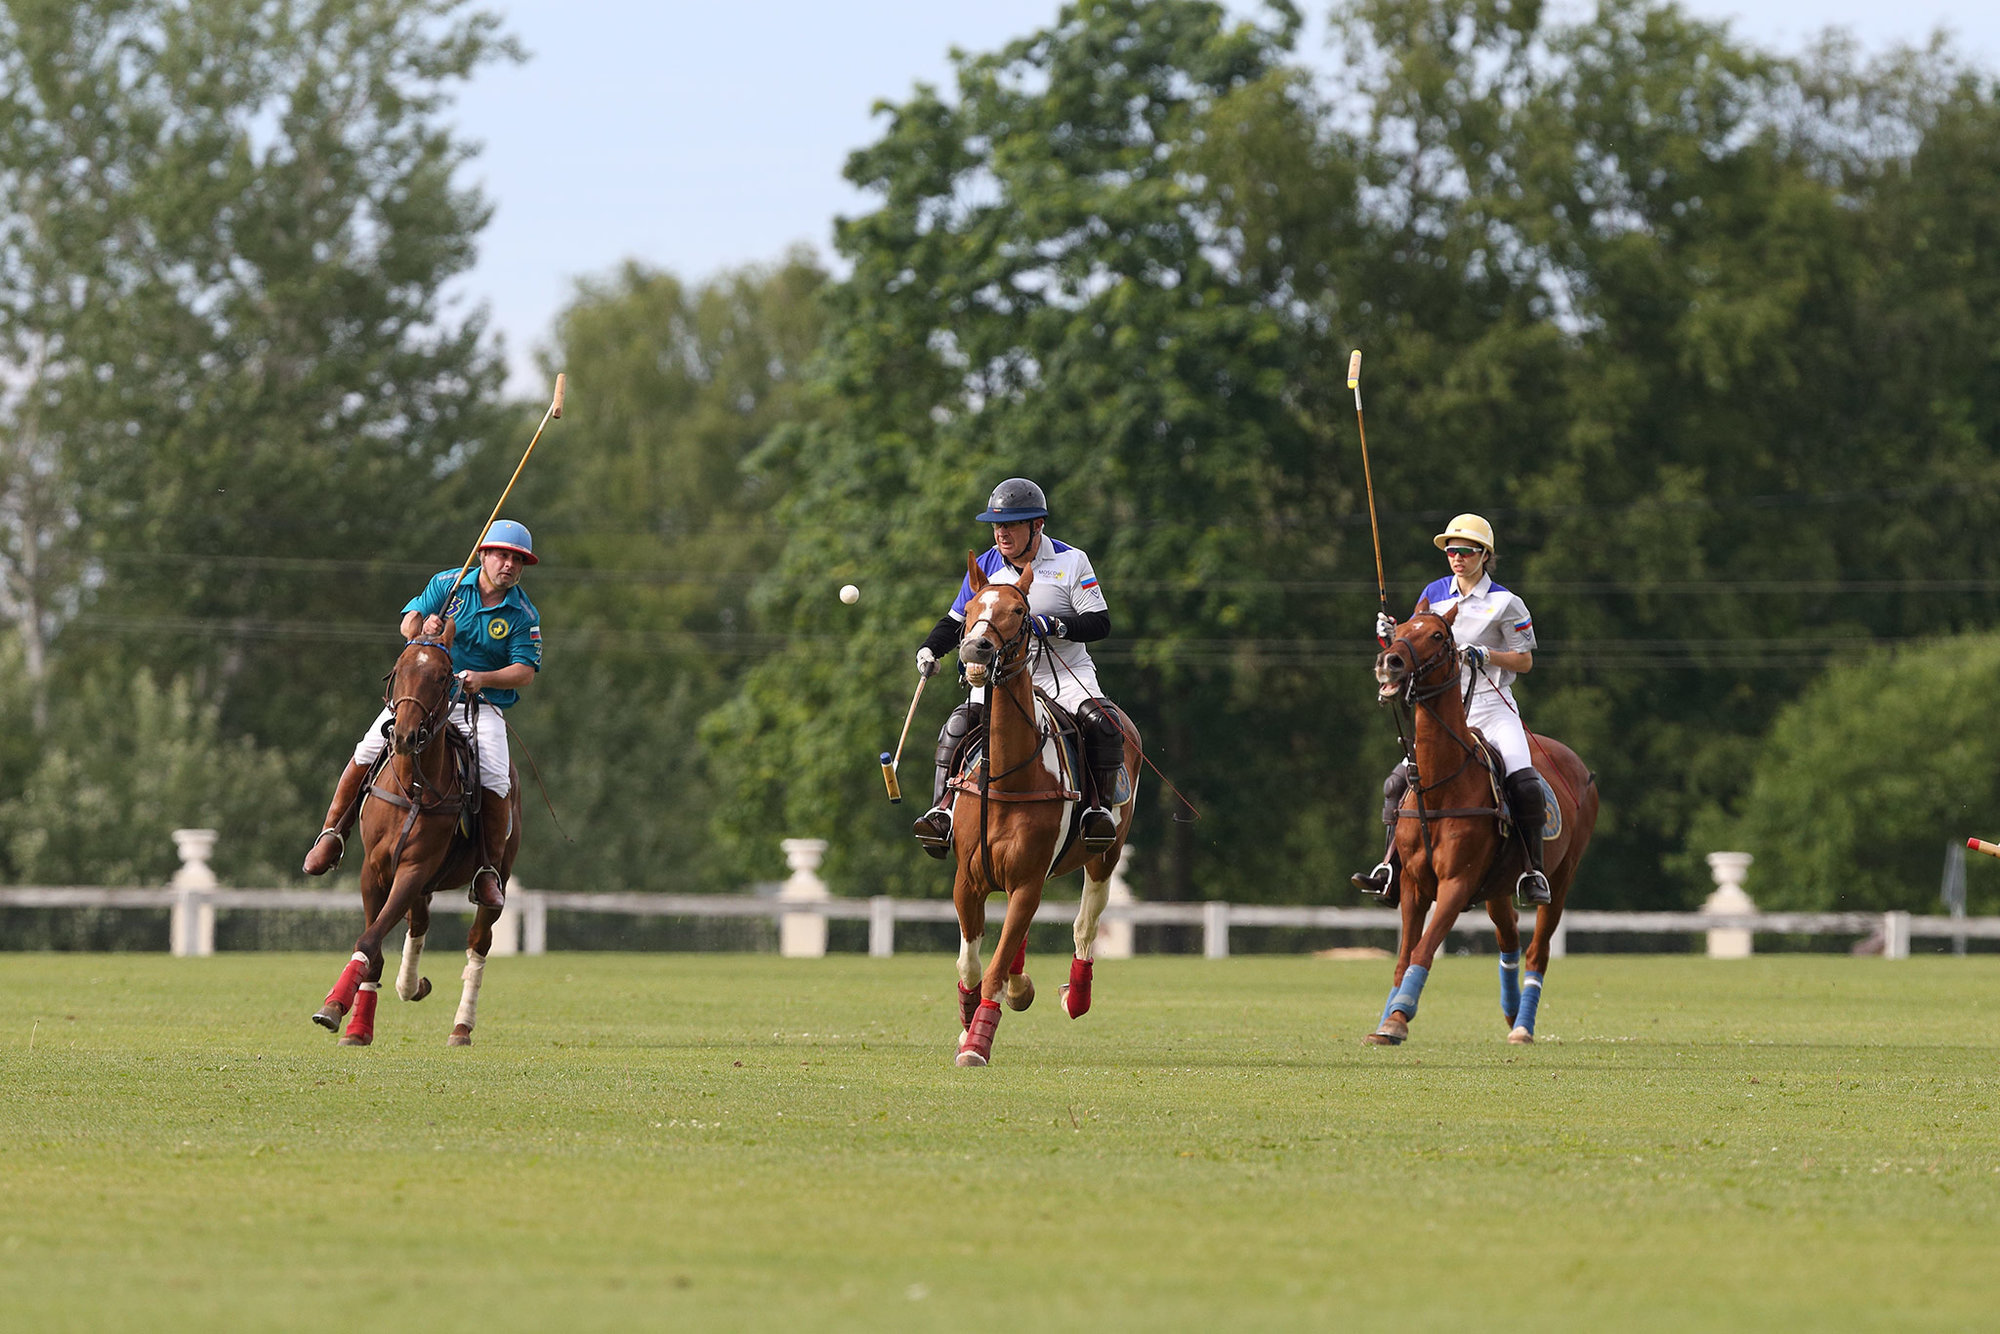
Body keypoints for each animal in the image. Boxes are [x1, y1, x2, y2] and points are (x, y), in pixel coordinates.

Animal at [308, 628, 520, 1056]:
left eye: (442, 676)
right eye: (399, 669)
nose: (404, 735)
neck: (411, 785)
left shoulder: (414, 868)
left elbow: (370, 937)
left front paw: (334, 1005)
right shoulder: (374, 870)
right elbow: (374, 948)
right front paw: (354, 1025)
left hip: (495, 875)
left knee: (479, 942)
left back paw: (461, 1027)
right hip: (424, 885)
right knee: (418, 924)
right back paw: (413, 985)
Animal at [952, 552, 1144, 1064]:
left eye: (1019, 612)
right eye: (971, 606)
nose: (976, 650)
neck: (1006, 776)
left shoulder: (1027, 881)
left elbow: (994, 967)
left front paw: (977, 1044)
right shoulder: (968, 880)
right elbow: (972, 964)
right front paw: (968, 1024)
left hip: (1105, 856)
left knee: (1084, 926)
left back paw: (1075, 997)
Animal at [1368, 612, 1600, 1048]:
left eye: (1437, 635)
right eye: (1400, 629)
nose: (1389, 662)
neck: (1439, 786)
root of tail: (1580, 766)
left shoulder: (1457, 882)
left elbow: (1425, 948)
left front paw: (1399, 1017)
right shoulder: (1412, 883)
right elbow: (1405, 954)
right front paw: (1387, 1020)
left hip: (1562, 877)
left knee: (1537, 950)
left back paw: (1523, 1026)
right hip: (1497, 886)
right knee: (1509, 940)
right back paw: (1511, 1011)